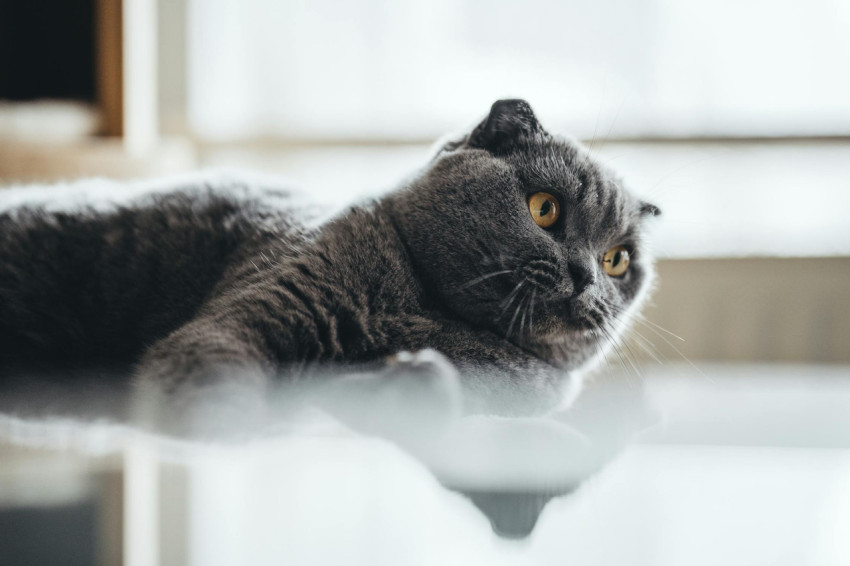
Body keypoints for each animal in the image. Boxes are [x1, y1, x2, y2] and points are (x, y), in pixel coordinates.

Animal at [0, 100, 656, 426]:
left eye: (617, 260)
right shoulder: (254, 310)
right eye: (545, 209)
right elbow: (215, 376)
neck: (429, 315)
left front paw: (405, 383)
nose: (586, 275)